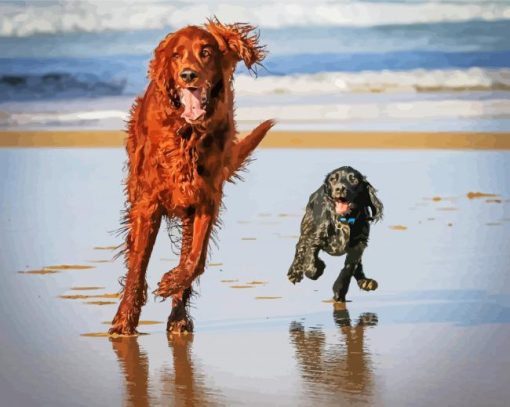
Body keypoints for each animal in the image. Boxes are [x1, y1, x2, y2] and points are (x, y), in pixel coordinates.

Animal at [109, 19, 272, 336]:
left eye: (205, 52)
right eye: (176, 55)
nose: (188, 75)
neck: (188, 132)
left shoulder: (206, 197)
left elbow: (195, 259)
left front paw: (172, 283)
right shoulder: (148, 203)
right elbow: (138, 264)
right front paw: (124, 320)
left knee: (187, 253)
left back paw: (179, 316)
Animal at [286, 166, 382, 302]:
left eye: (354, 179)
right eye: (332, 179)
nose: (339, 188)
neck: (344, 219)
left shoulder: (358, 246)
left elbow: (348, 269)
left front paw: (339, 291)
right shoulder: (317, 237)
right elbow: (310, 258)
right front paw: (317, 268)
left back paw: (365, 281)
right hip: (307, 226)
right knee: (300, 246)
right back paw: (294, 272)